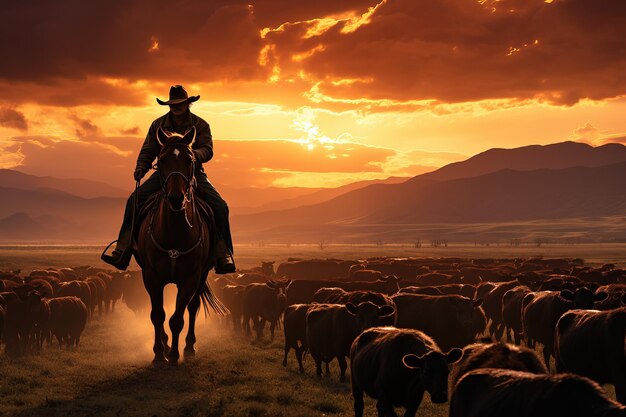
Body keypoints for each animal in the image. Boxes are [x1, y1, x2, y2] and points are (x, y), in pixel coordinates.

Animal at [134, 125, 227, 362]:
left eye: (189, 159)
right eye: (162, 159)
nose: (176, 198)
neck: (174, 232)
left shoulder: (190, 279)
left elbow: (177, 318)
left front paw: (175, 355)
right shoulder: (151, 277)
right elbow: (158, 315)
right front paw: (160, 353)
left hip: (202, 274)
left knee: (193, 308)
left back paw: (189, 347)